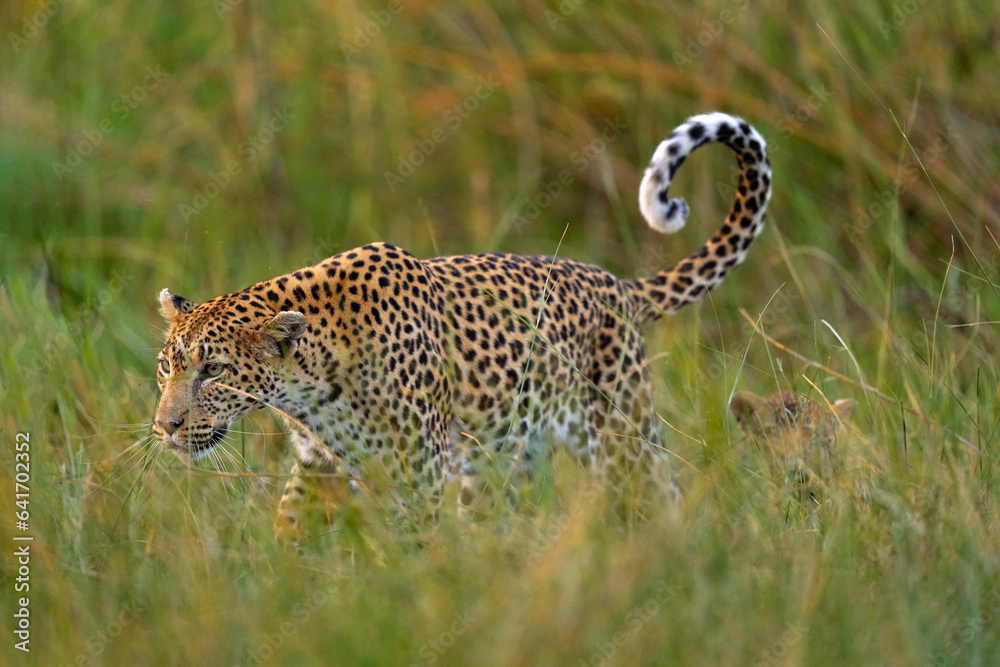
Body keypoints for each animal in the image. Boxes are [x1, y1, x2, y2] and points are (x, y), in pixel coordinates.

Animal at [152, 112, 768, 540]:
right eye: (165, 368)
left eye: (214, 371)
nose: (164, 427)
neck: (307, 387)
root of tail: (613, 283)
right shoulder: (318, 462)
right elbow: (290, 529)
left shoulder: (417, 471)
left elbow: (411, 547)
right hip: (505, 460)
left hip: (619, 435)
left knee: (658, 492)